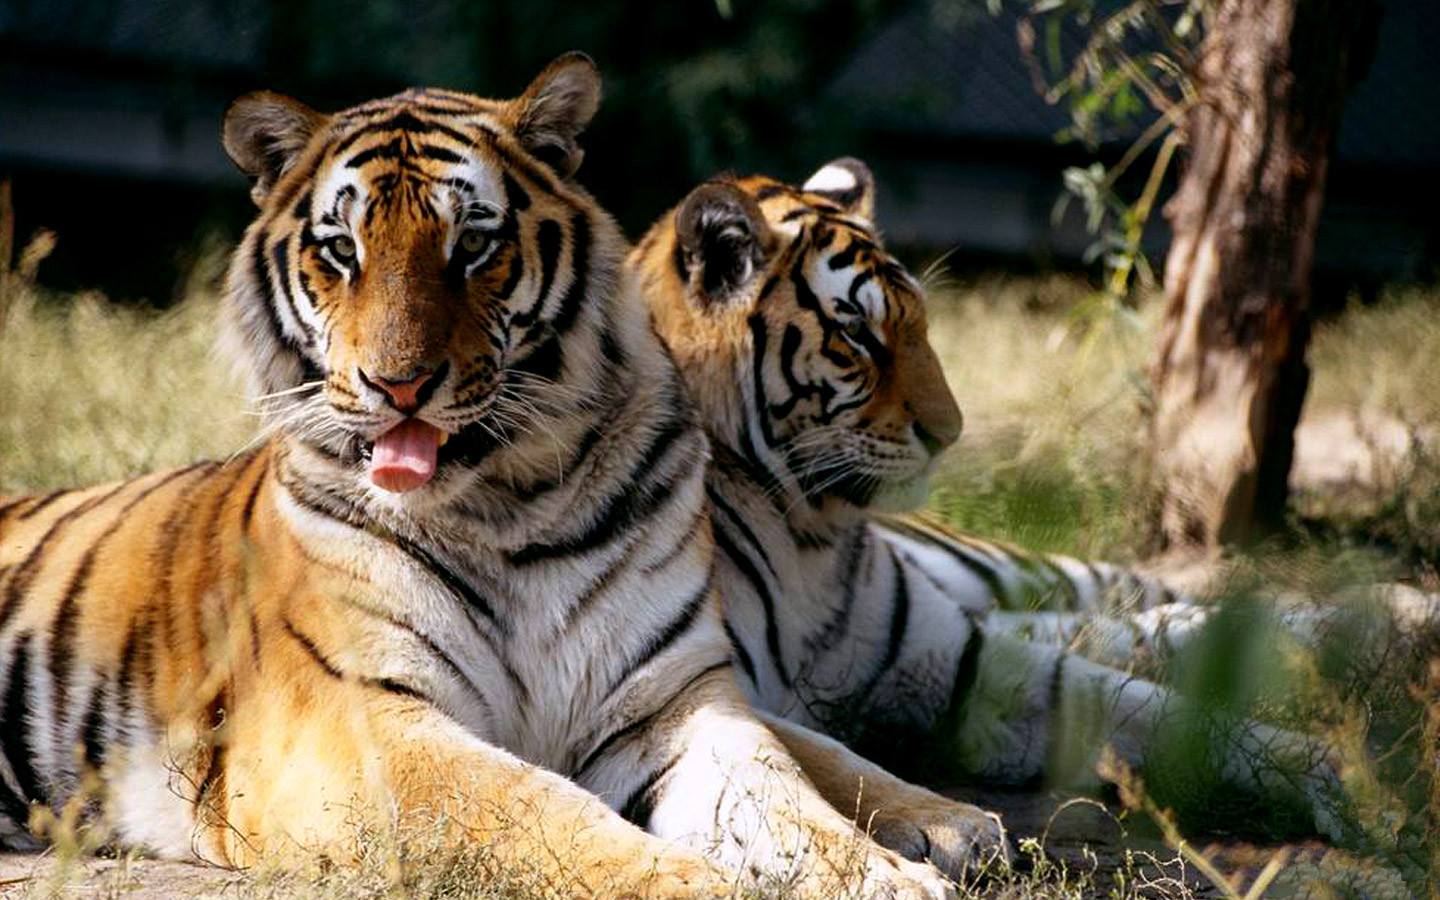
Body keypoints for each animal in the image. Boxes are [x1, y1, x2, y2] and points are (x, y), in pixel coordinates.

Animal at [0, 57, 979, 898]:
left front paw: (902, 862)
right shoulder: (361, 723)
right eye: (342, 251)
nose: (397, 384)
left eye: (472, 245)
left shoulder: (671, 699)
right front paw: (693, 884)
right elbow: (532, 807)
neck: (514, 504)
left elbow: (789, 786)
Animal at [624, 154, 1342, 835]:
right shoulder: (698, 686)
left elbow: (1149, 704)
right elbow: (823, 755)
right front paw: (939, 824)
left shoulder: (960, 663)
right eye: (857, 335)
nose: (950, 433)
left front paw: (1332, 774)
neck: (806, 535)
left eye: (920, 326)